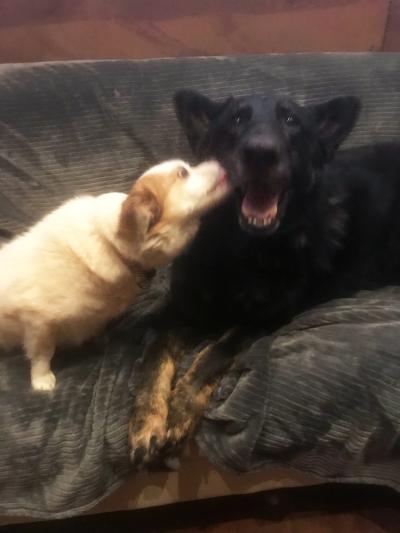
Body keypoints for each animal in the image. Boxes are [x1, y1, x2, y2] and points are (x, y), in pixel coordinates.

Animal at [0, 159, 230, 390]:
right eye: (183, 173)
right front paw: (42, 380)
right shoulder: (38, 323)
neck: (113, 247)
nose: (221, 162)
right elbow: (42, 355)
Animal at [129, 89, 400, 464]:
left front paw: (181, 408)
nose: (261, 153)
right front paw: (147, 422)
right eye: (237, 119)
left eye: (291, 121)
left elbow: (214, 352)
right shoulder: (178, 311)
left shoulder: (264, 320)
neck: (240, 250)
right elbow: (153, 360)